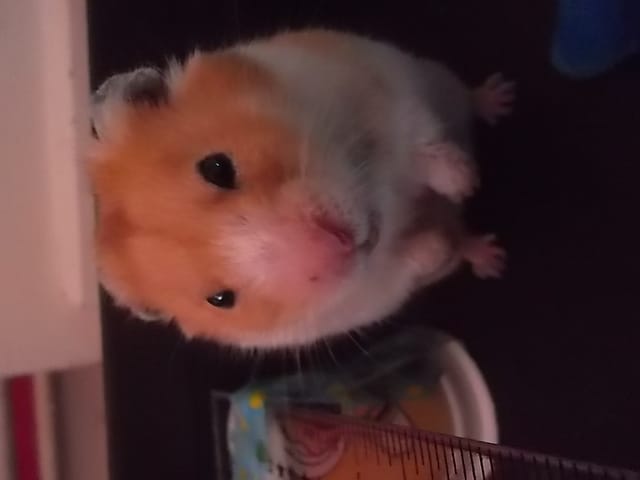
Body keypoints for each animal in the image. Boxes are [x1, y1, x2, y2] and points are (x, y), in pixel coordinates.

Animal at [89, 29, 514, 349]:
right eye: (221, 300)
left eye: (216, 167)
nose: (338, 242)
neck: (378, 200)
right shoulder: (371, 294)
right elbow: (413, 258)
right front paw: (437, 240)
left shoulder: (382, 89)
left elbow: (420, 143)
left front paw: (466, 182)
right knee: (462, 240)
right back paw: (488, 257)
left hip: (434, 74)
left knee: (465, 97)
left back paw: (500, 97)